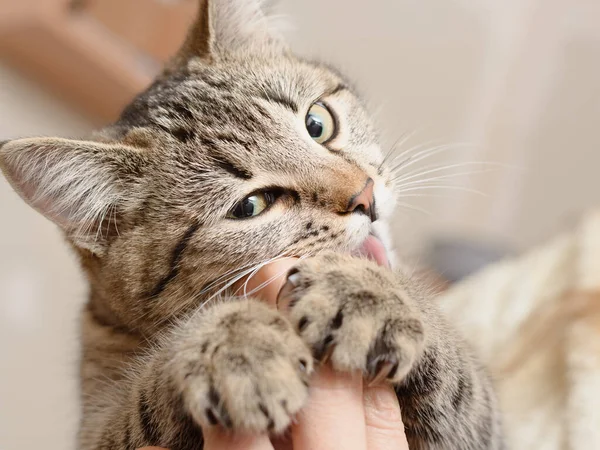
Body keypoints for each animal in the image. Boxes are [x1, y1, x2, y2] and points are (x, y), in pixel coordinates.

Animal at [0, 1, 502, 448]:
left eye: (317, 122)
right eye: (250, 206)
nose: (365, 196)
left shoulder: (485, 425)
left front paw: (366, 291)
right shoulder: (98, 428)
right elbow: (147, 393)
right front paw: (236, 344)